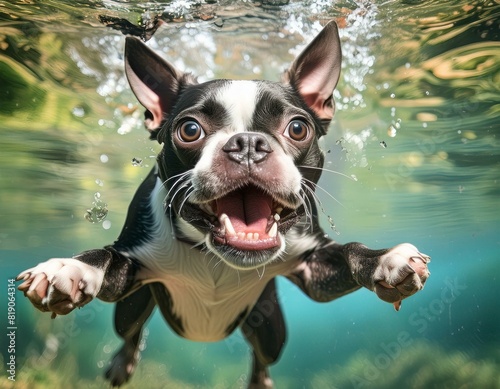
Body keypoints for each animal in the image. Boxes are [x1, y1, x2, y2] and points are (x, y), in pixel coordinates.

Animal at [17, 21, 428, 388]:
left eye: (298, 128)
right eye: (189, 130)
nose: (247, 143)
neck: (213, 256)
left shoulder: (316, 272)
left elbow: (351, 250)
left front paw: (385, 259)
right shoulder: (128, 266)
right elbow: (103, 256)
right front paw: (68, 268)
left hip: (270, 325)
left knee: (262, 354)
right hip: (132, 306)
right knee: (131, 330)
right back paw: (122, 363)